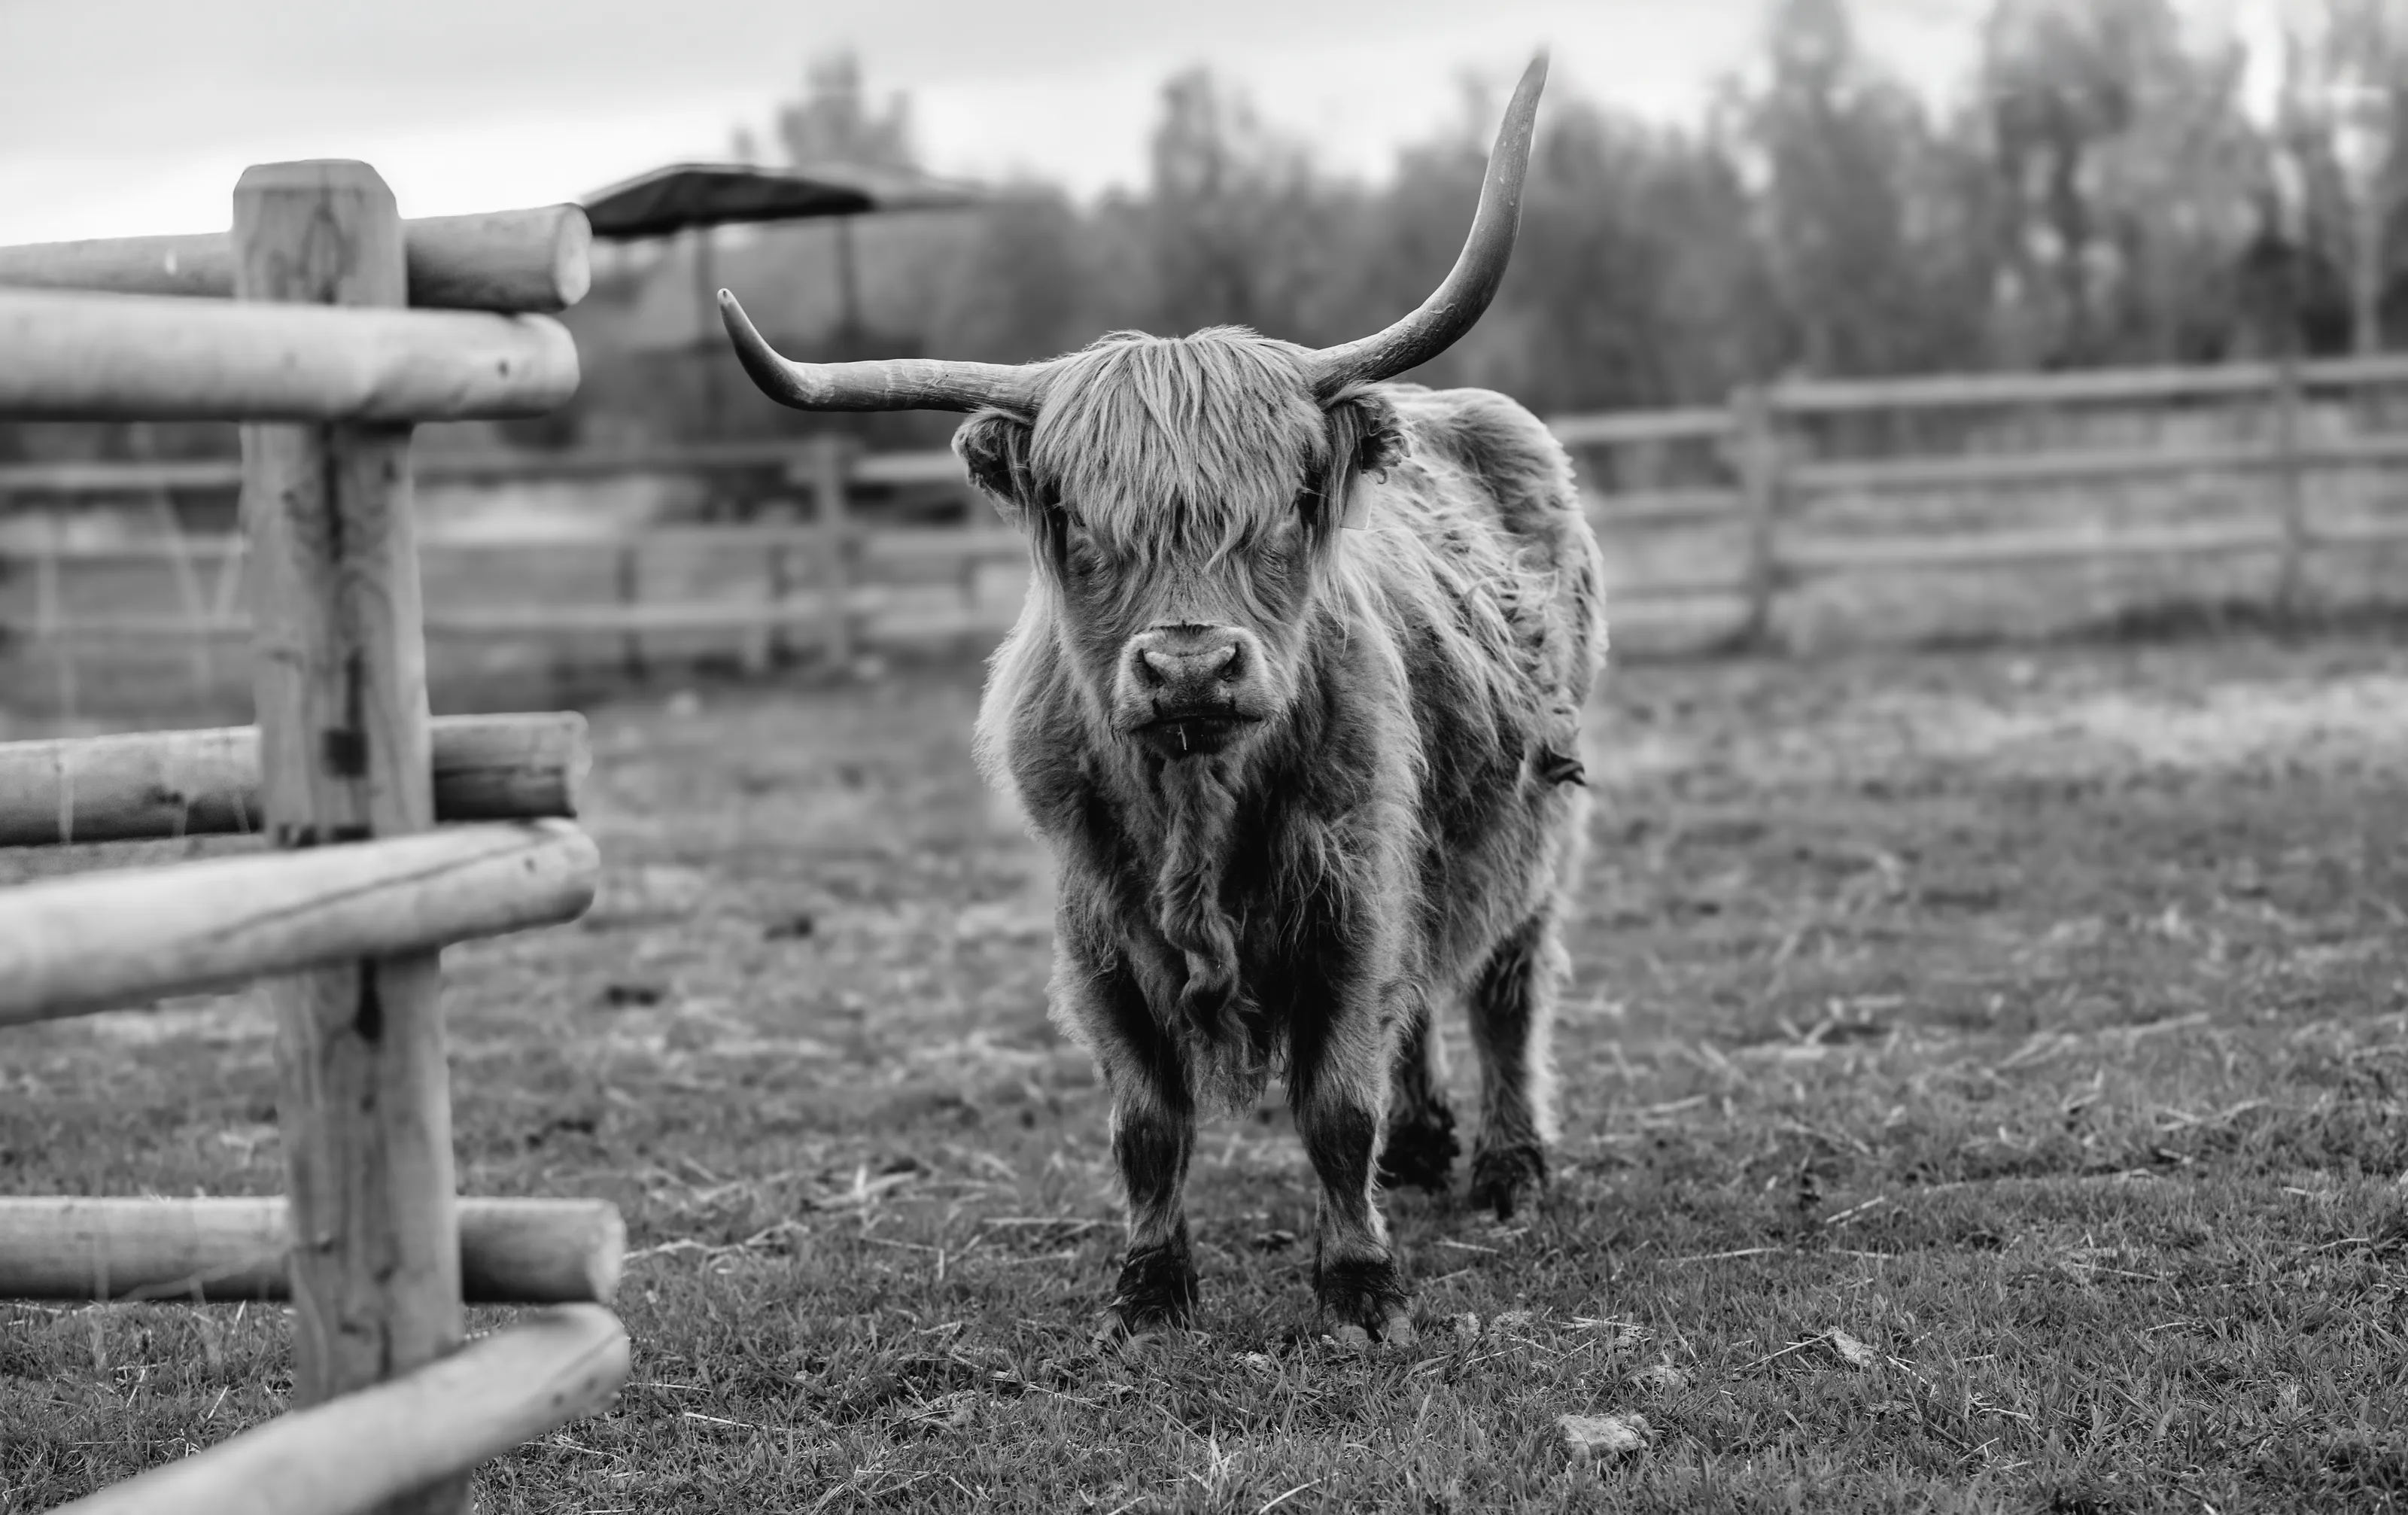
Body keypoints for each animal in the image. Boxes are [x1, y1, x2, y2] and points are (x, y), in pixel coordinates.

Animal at [718, 54, 1602, 1349]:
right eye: (1073, 515)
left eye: (1294, 499)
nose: (1189, 667)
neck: (1195, 806)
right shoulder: (1096, 928)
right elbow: (1146, 1120)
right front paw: (1148, 1287)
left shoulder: (1349, 895)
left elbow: (1334, 1100)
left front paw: (1361, 1284)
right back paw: (1425, 1147)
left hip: (1540, 823)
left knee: (1506, 983)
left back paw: (1507, 1166)